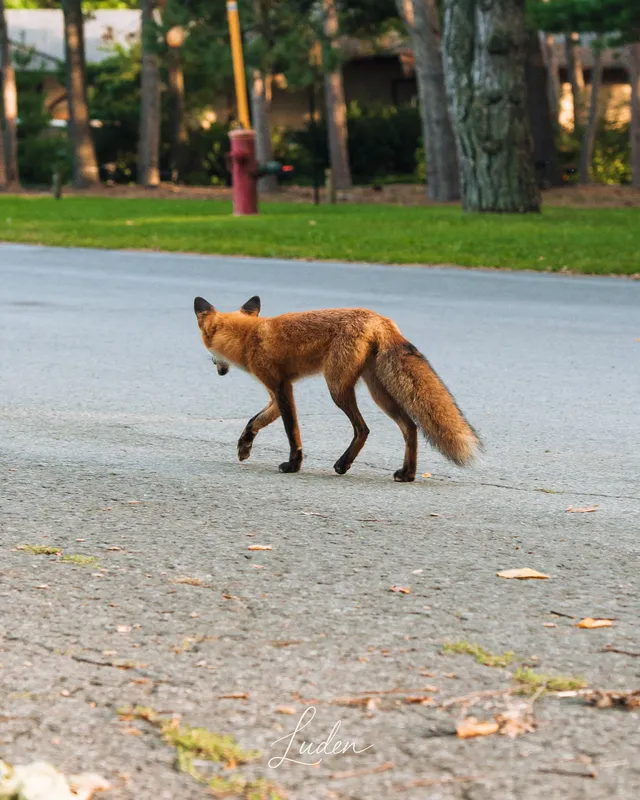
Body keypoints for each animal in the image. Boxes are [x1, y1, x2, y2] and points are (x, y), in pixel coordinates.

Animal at [194, 295, 481, 481]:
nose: (218, 369)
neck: (249, 336)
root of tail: (381, 319)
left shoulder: (282, 389)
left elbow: (291, 431)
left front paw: (294, 464)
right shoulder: (277, 393)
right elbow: (255, 420)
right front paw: (244, 446)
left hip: (337, 388)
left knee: (363, 429)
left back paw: (344, 464)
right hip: (378, 393)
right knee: (410, 427)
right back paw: (407, 473)